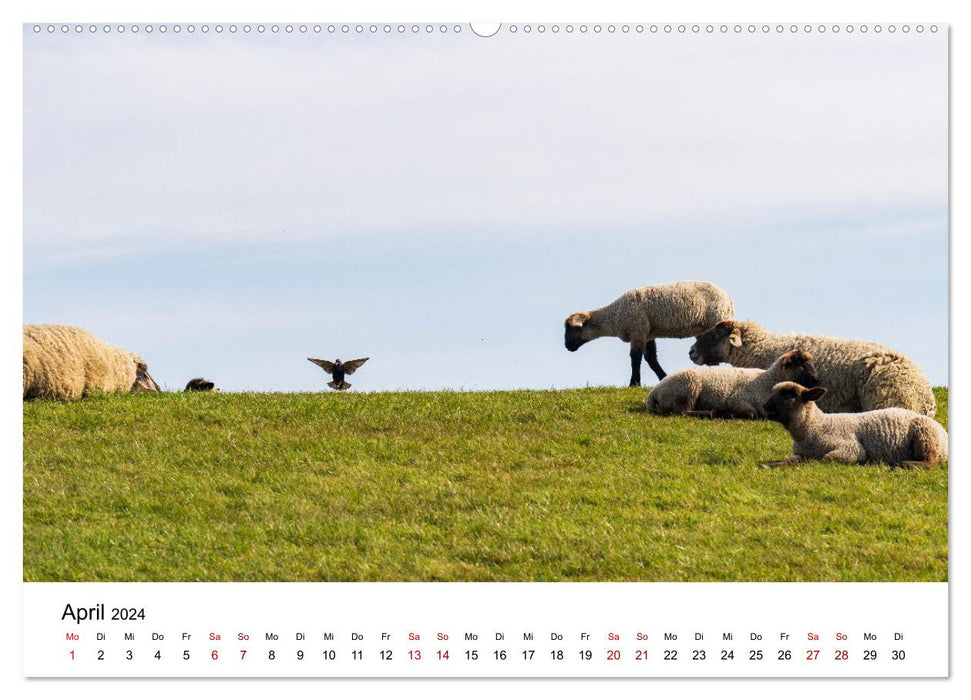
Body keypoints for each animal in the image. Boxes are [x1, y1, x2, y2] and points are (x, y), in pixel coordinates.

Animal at [564, 280, 732, 388]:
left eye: (572, 328)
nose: (567, 347)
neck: (614, 316)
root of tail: (729, 300)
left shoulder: (638, 330)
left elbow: (635, 358)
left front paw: (634, 384)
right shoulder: (647, 333)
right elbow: (651, 359)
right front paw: (663, 377)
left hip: (715, 319)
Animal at [644, 348, 820, 418]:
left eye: (812, 363)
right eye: (801, 364)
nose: (816, 379)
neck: (768, 380)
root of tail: (654, 393)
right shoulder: (738, 400)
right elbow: (751, 414)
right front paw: (728, 413)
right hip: (688, 388)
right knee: (682, 412)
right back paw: (710, 413)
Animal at [764, 380, 944, 474]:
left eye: (789, 395)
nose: (765, 407)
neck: (815, 427)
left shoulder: (852, 450)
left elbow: (823, 458)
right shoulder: (800, 452)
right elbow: (791, 460)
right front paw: (771, 465)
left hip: (926, 437)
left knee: (932, 462)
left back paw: (900, 465)